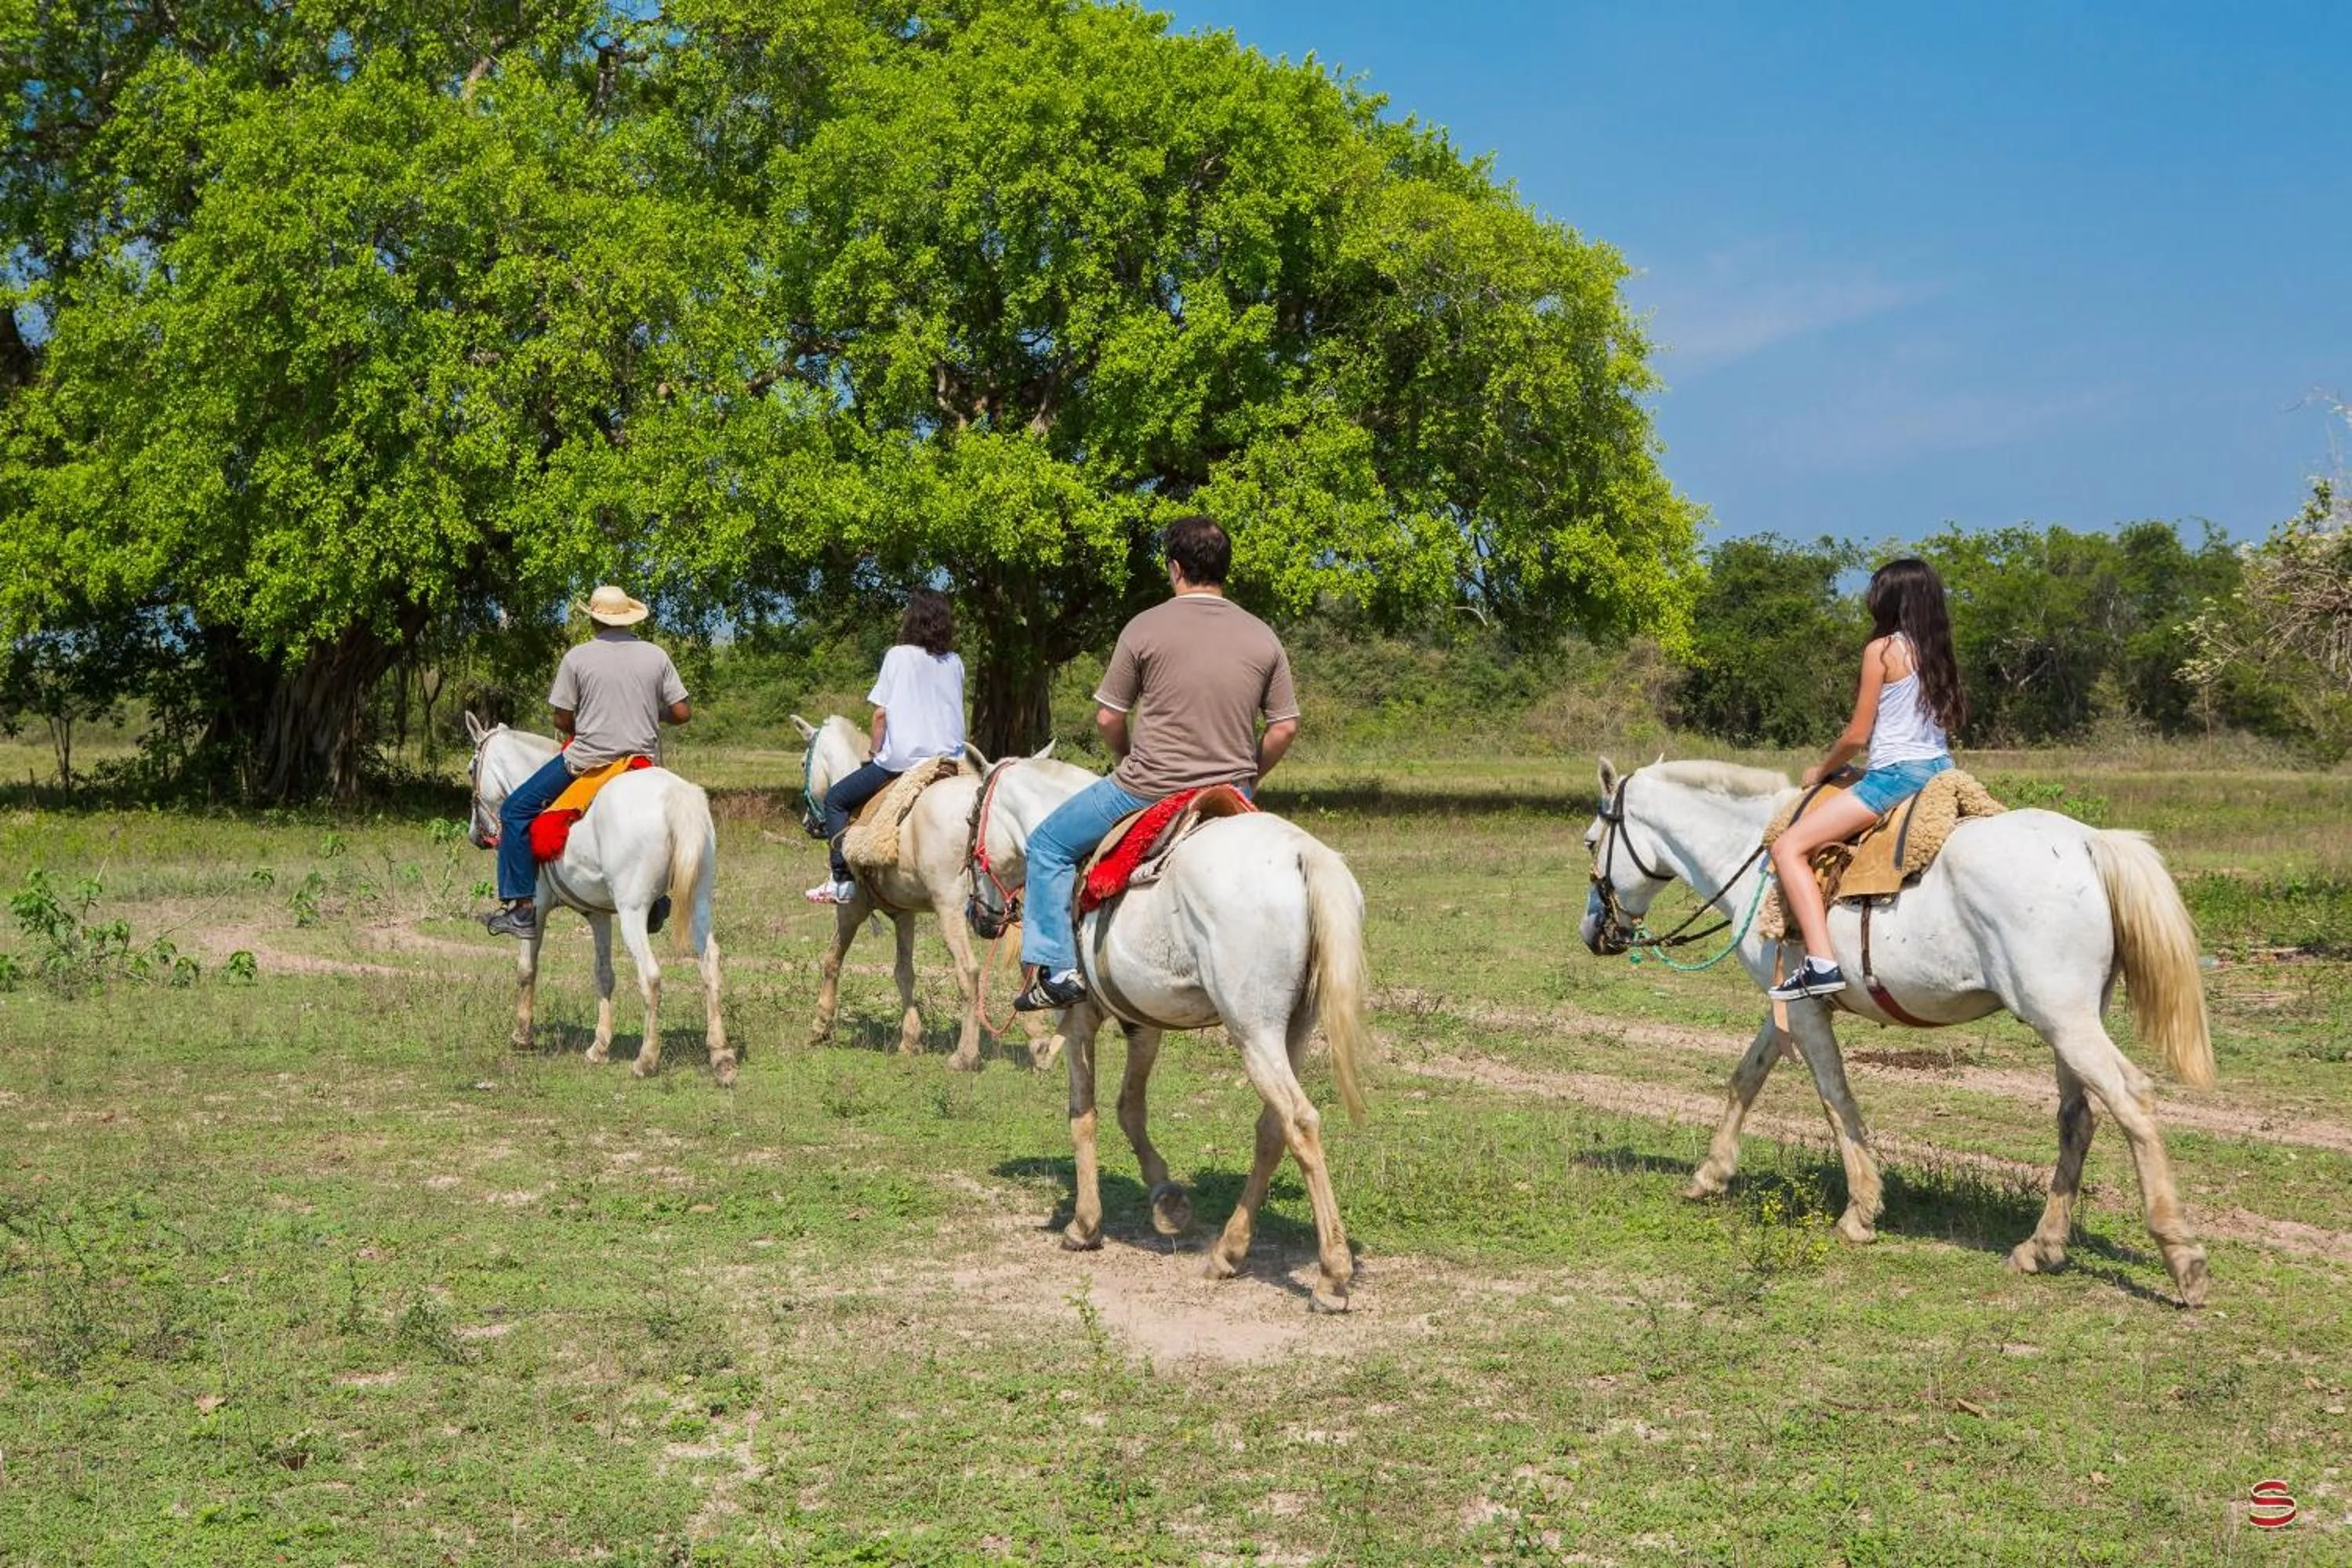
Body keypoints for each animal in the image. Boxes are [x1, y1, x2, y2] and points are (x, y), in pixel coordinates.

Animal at [464, 715, 731, 1084]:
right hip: (700, 900)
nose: (476, 835)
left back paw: (646, 1059)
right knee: (710, 965)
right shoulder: (599, 914)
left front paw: (522, 1035)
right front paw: (600, 1046)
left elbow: (526, 968)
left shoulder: (538, 907)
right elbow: (604, 975)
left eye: (470, 768)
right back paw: (721, 1054)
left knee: (650, 976)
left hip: (633, 911)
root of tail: (676, 798)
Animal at [790, 714, 1052, 1070]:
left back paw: (965, 1055)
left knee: (969, 971)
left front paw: (820, 1026)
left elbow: (832, 960)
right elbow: (904, 972)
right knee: (1029, 965)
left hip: (950, 908)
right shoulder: (904, 913)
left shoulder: (852, 908)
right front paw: (910, 1039)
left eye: (804, 762)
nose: (808, 824)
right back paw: (1039, 1046)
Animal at [967, 757, 1371, 1312]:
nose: (979, 916)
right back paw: (1228, 1251)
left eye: (969, 822)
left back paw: (1331, 1277)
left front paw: (1084, 1226)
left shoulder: (1080, 1017)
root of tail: (1299, 854)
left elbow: (1083, 1115)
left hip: (1254, 1031)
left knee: (1301, 1122)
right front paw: (1167, 1201)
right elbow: (1129, 1109)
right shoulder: (1142, 1022)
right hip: (1292, 1030)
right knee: (1273, 1129)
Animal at [1579, 757, 2214, 1305]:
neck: (1752, 853)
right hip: (2071, 1023)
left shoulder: (1806, 1012)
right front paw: (1710, 1175)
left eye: (1590, 841)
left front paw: (1860, 1210)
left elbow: (1835, 1099)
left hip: (2063, 1019)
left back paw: (2181, 1257)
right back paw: (2041, 1247)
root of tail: (2087, 843)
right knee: (2077, 1120)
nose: (1594, 932)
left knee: (2132, 1100)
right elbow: (1746, 1078)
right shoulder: (1787, 1001)